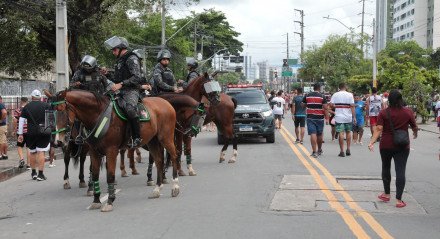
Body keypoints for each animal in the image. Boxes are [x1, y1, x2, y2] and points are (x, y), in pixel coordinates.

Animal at [52, 89, 180, 211]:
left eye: (62, 111)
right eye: (53, 113)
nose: (59, 141)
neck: (99, 115)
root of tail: (166, 103)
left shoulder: (111, 151)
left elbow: (110, 176)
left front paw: (109, 201)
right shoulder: (94, 152)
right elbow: (95, 174)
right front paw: (96, 200)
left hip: (166, 138)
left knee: (174, 156)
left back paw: (175, 186)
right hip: (152, 141)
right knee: (159, 161)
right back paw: (157, 189)